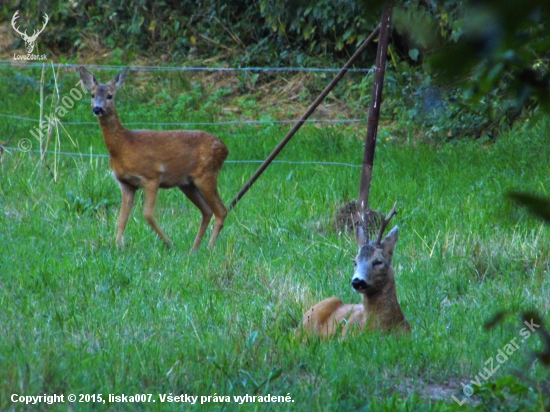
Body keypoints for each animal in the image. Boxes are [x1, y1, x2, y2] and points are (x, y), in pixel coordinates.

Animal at [78, 66, 230, 253]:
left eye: (110, 96)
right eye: (92, 95)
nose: (97, 109)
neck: (124, 146)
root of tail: (225, 148)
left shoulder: (151, 176)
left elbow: (147, 214)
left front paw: (168, 243)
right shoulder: (126, 184)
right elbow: (122, 218)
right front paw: (117, 246)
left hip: (206, 174)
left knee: (221, 210)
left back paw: (208, 248)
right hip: (187, 183)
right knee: (207, 211)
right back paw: (194, 249)